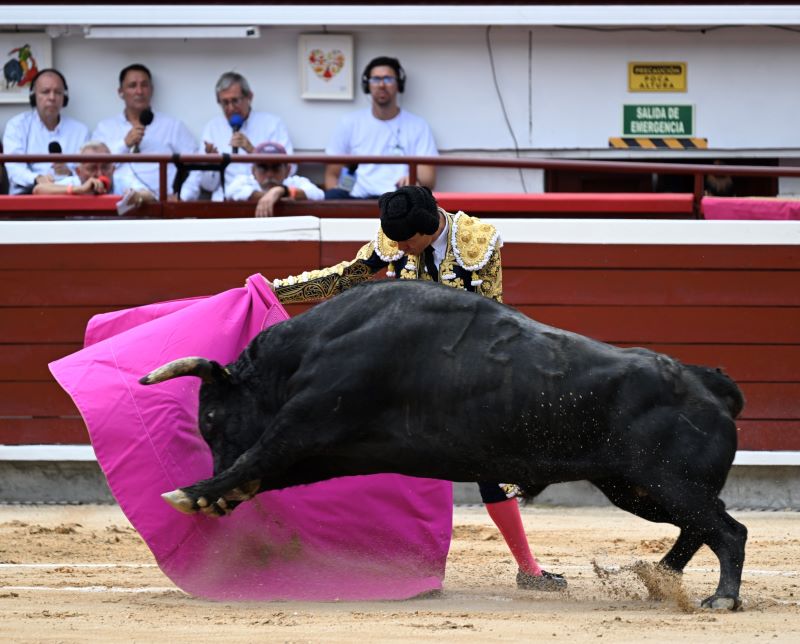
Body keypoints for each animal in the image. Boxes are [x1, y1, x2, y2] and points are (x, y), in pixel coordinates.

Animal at [141, 279, 747, 610]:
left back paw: (719, 597)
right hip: (634, 486)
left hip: (663, 482)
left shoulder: (305, 425)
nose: (220, 505)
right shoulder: (326, 448)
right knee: (701, 527)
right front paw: (215, 492)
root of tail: (708, 380)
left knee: (726, 530)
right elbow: (266, 467)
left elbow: (260, 453)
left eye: (212, 417)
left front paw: (192, 492)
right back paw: (659, 580)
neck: (314, 347)